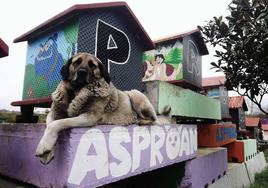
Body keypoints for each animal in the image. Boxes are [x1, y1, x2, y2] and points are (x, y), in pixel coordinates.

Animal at [36, 52, 169, 164]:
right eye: (76, 62)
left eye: (92, 65)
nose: (82, 72)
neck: (76, 91)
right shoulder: (53, 113)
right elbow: (50, 124)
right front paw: (48, 150)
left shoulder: (88, 117)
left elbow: (57, 124)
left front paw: (44, 146)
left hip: (135, 95)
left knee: (154, 120)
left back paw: (140, 120)